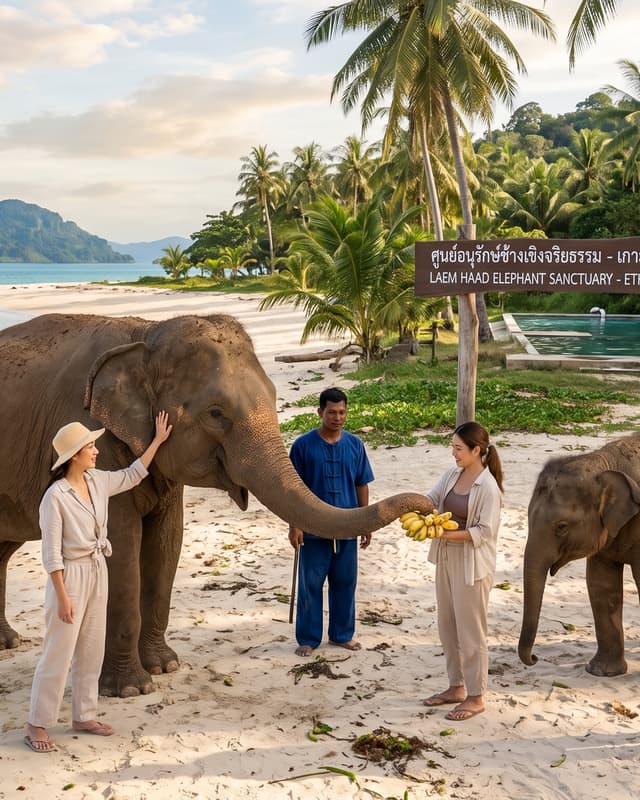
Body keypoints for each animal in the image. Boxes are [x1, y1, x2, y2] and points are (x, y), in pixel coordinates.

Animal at [0, 312, 432, 697]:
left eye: (275, 397)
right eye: (216, 413)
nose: (426, 507)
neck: (145, 332)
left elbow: (167, 544)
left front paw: (166, 666)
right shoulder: (98, 439)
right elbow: (121, 547)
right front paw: (132, 689)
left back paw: (8, 643)